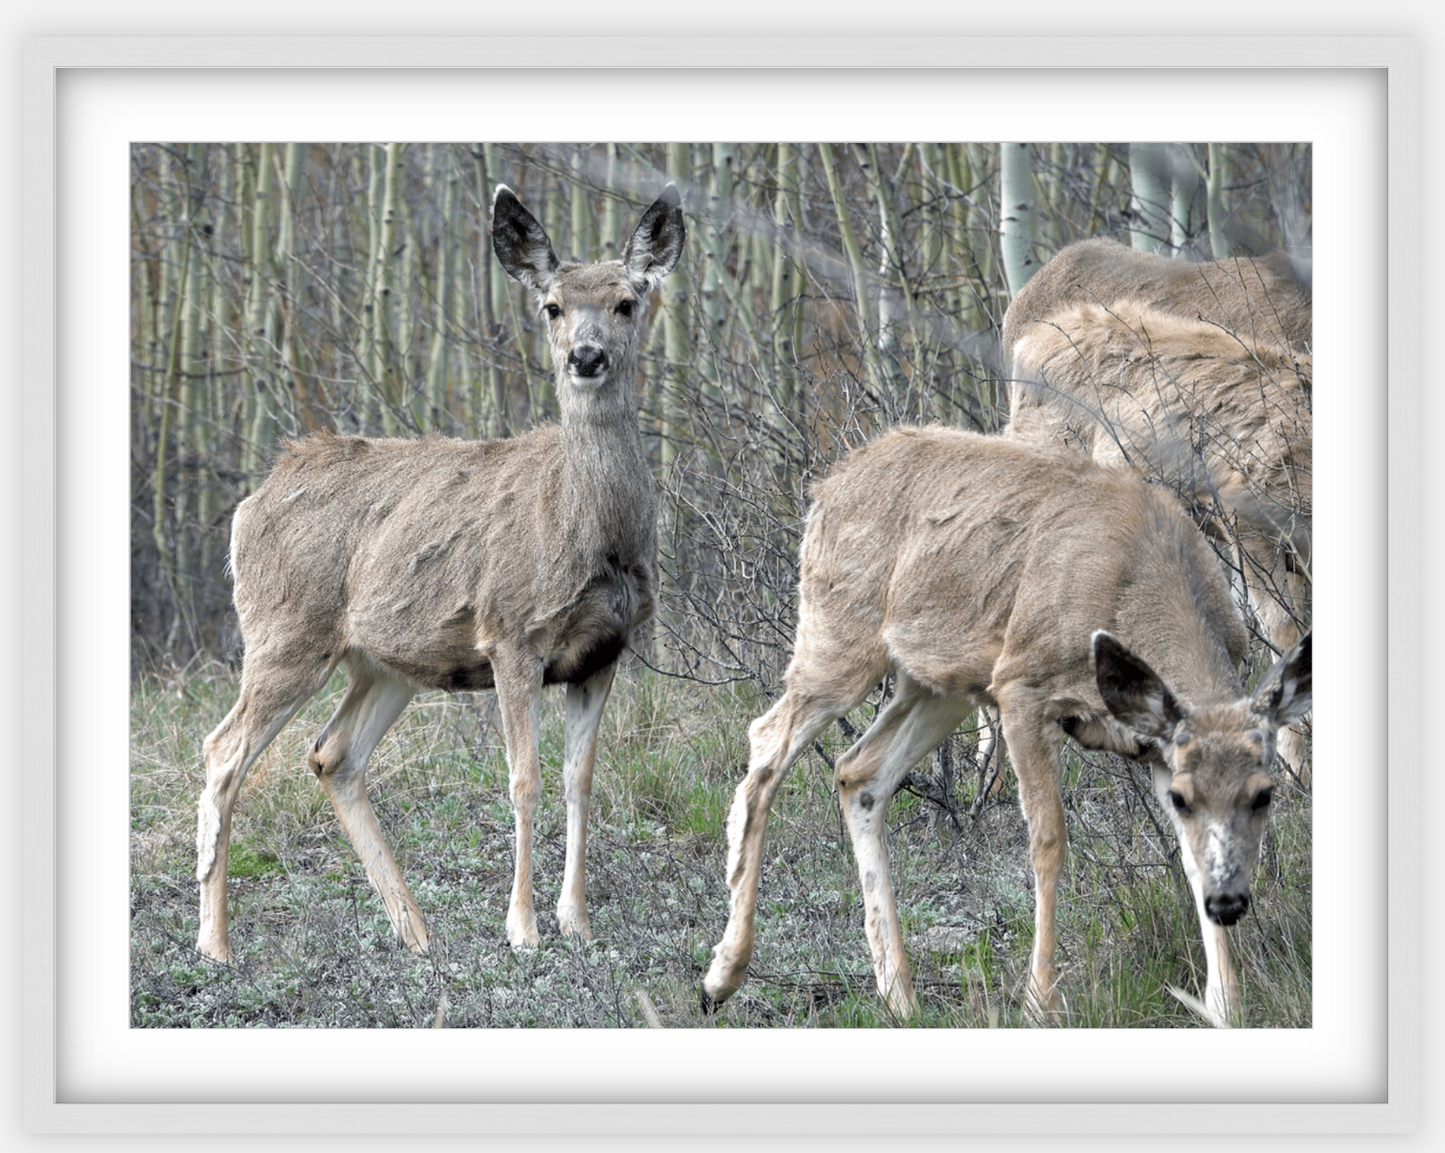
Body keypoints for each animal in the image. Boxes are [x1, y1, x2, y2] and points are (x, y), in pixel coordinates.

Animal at [195, 184, 684, 965]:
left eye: (626, 301)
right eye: (551, 305)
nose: (586, 356)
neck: (591, 533)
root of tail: (249, 505)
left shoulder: (606, 650)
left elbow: (580, 779)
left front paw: (576, 920)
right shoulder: (513, 633)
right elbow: (524, 779)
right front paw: (523, 929)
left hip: (384, 661)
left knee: (332, 755)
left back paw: (416, 931)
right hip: (285, 632)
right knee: (224, 751)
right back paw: (215, 942)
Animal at [705, 427, 1317, 1034]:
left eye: (1265, 794)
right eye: (1186, 798)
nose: (1230, 904)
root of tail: (826, 486)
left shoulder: (1156, 741)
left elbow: (1190, 856)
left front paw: (1224, 1004)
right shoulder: (1023, 686)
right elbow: (1048, 842)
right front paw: (1039, 1002)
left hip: (938, 682)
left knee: (858, 770)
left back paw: (899, 996)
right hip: (840, 635)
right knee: (766, 744)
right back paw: (722, 974)